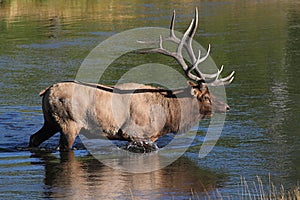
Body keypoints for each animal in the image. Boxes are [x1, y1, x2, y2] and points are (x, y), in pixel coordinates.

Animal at [29, 7, 234, 152]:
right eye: (206, 96)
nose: (226, 106)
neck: (169, 114)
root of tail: (46, 92)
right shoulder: (136, 134)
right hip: (69, 123)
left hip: (50, 122)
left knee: (33, 138)